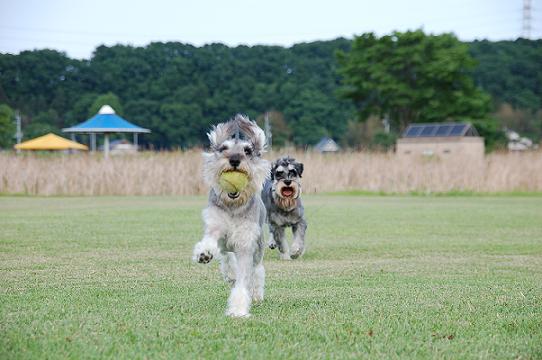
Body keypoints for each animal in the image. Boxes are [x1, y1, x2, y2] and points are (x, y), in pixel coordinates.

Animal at [196, 114, 272, 316]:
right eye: (223, 148)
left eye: (248, 150)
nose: (235, 160)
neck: (233, 205)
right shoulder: (215, 225)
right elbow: (211, 242)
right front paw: (204, 253)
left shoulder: (246, 242)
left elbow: (244, 278)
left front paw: (238, 309)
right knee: (227, 257)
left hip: (258, 247)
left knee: (257, 271)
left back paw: (256, 294)